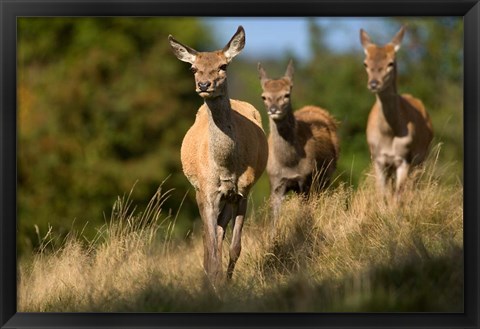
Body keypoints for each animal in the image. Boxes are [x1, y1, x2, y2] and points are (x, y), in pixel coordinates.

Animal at [167, 25, 268, 284]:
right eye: (193, 68)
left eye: (224, 66)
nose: (204, 84)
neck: (226, 166)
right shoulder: (207, 190)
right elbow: (211, 247)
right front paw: (214, 280)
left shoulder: (244, 191)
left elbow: (236, 248)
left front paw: (227, 282)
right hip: (200, 192)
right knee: (208, 237)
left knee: (221, 230)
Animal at [256, 60, 340, 222]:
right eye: (264, 96)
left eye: (287, 94)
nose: (273, 109)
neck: (289, 163)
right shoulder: (275, 182)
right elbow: (273, 220)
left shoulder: (305, 179)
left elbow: (304, 214)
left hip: (326, 175)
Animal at [360, 25, 436, 199]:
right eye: (365, 64)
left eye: (391, 63)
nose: (373, 83)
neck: (389, 134)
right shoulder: (378, 159)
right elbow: (383, 195)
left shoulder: (404, 158)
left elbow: (398, 196)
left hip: (421, 159)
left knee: (413, 187)